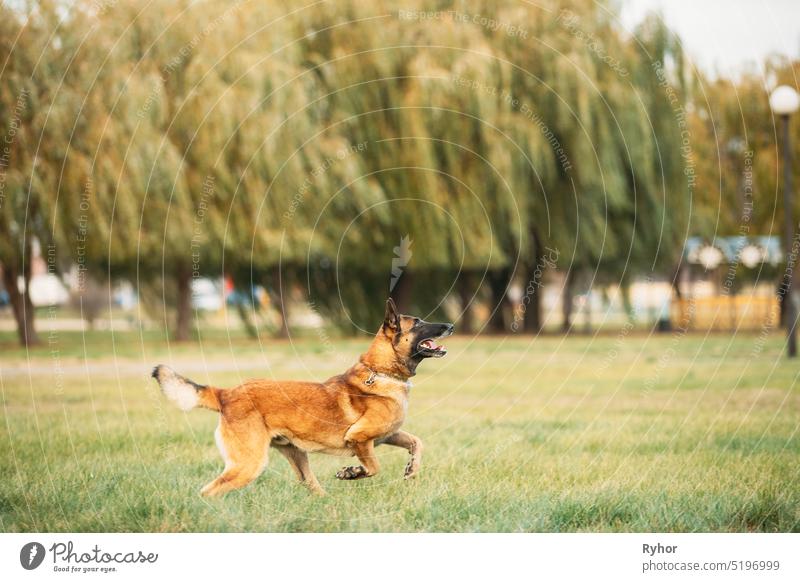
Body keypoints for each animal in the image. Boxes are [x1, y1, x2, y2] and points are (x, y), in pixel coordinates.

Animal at [150, 302, 450, 498]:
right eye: (419, 323)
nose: (450, 325)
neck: (382, 372)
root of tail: (227, 393)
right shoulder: (361, 437)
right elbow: (373, 467)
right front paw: (352, 472)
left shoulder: (387, 435)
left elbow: (416, 443)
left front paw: (411, 470)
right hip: (249, 465)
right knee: (208, 491)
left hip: (296, 456)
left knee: (312, 486)